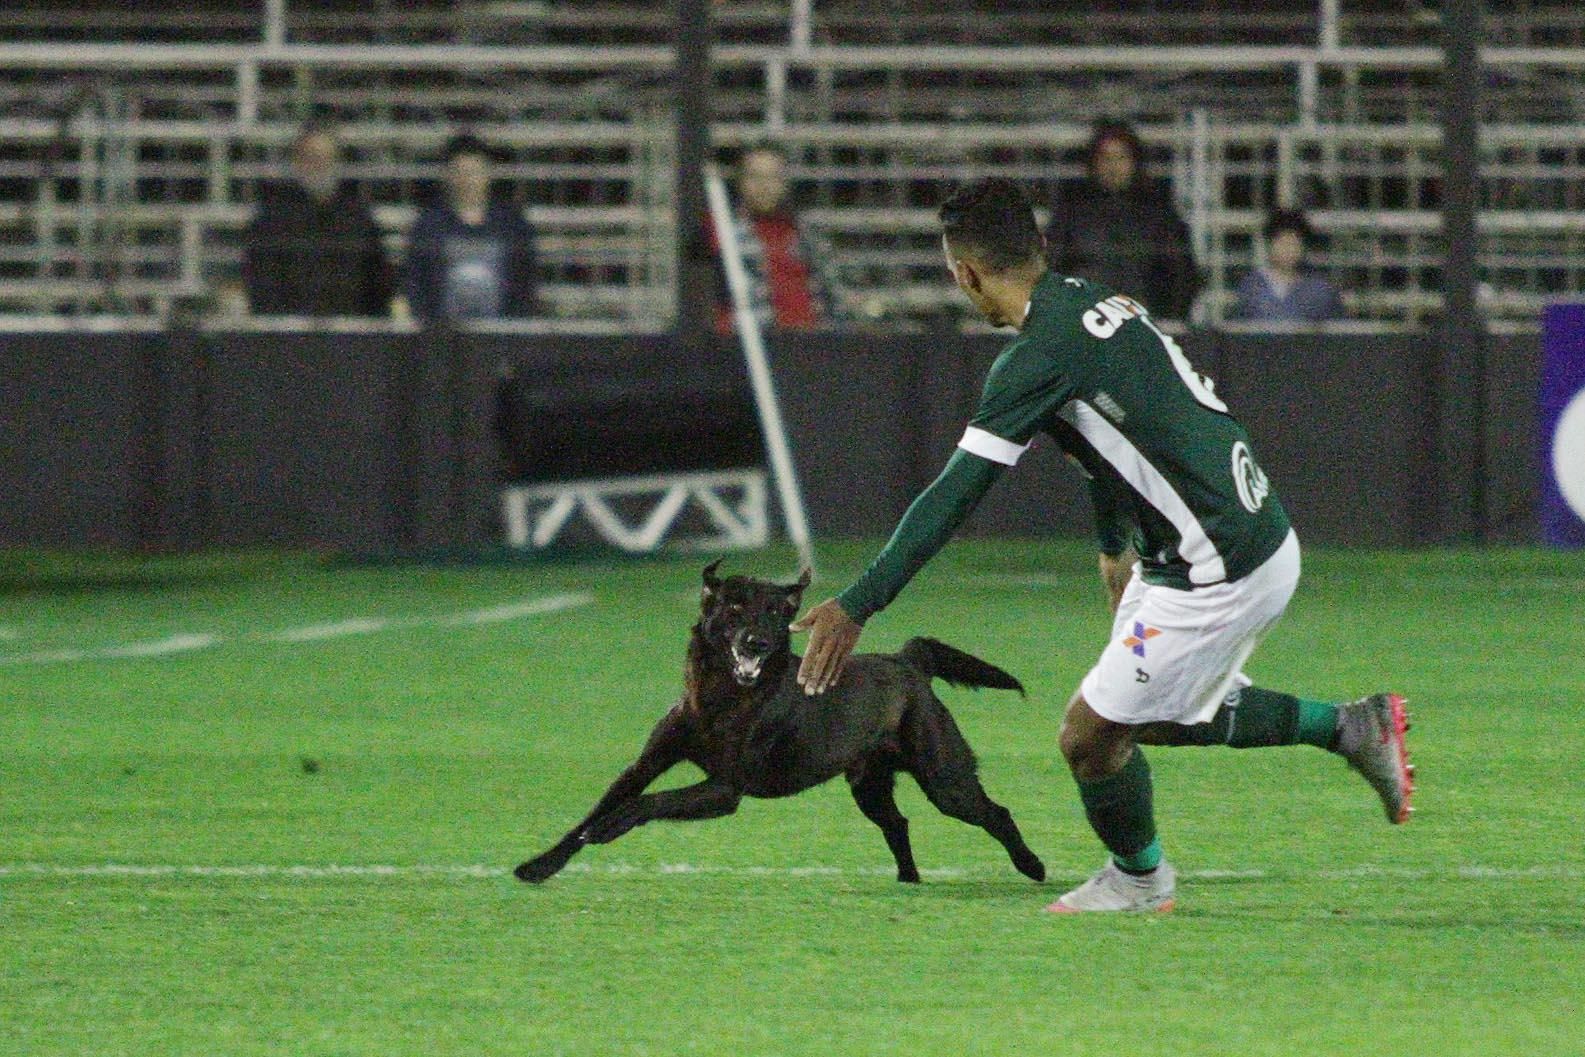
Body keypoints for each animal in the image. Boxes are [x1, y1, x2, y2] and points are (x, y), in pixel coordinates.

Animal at [513, 560, 1046, 887]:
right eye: (733, 607)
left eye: (775, 612)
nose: (757, 642)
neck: (721, 698)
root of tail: (908, 660)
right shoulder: (646, 764)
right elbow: (592, 813)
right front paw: (540, 865)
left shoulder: (724, 787)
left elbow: (648, 802)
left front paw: (610, 827)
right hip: (869, 783)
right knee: (897, 822)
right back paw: (908, 880)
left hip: (944, 777)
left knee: (995, 813)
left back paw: (1032, 866)